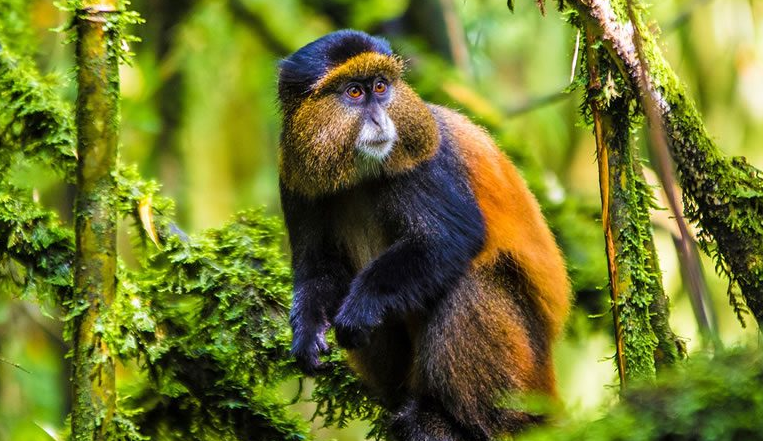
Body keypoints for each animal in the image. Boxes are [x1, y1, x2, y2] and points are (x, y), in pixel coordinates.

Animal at [277, 30, 570, 441]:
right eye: (354, 92)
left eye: (380, 87)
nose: (380, 119)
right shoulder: (295, 181)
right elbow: (318, 268)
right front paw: (306, 334)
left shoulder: (422, 161)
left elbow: (448, 239)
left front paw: (361, 306)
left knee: (469, 282)